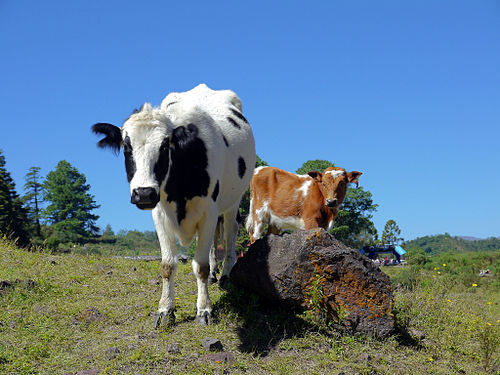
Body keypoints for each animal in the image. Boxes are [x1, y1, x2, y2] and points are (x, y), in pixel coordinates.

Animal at [92, 84, 256, 326]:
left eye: (164, 146)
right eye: (126, 147)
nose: (143, 193)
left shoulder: (208, 211)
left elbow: (200, 266)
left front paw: (204, 309)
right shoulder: (160, 214)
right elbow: (168, 265)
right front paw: (165, 309)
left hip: (233, 200)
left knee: (229, 232)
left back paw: (225, 274)